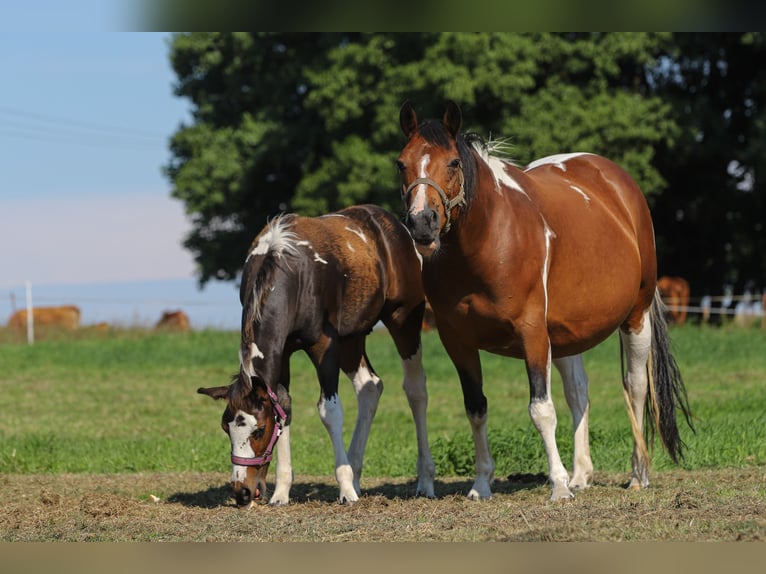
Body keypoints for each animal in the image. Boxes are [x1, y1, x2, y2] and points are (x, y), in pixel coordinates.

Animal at [198, 204, 435, 507]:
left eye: (259, 430)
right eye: (226, 428)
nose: (242, 493)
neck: (292, 272)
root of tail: (392, 224)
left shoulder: (325, 346)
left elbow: (329, 411)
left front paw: (345, 489)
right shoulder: (283, 352)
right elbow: (284, 407)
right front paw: (282, 492)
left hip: (403, 321)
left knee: (416, 390)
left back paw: (424, 480)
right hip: (353, 338)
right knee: (370, 387)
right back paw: (357, 474)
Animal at [396, 101, 693, 501]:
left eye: (454, 163)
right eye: (402, 163)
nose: (422, 223)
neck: (489, 241)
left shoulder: (532, 333)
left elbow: (541, 409)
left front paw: (559, 486)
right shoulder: (457, 341)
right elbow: (476, 407)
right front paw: (481, 484)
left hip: (636, 316)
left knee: (635, 388)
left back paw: (638, 474)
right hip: (567, 335)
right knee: (578, 392)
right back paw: (582, 474)